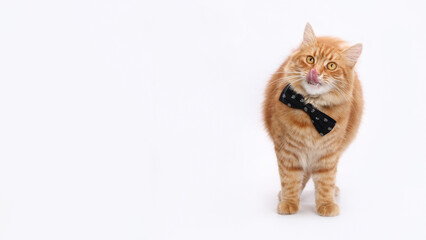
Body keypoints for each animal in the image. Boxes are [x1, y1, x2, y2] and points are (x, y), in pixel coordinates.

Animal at [262, 23, 362, 217]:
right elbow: (290, 180)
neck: (312, 111)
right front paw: (289, 202)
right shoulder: (288, 151)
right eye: (310, 59)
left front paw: (326, 204)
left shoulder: (328, 154)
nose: (315, 71)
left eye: (331, 66)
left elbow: (325, 182)